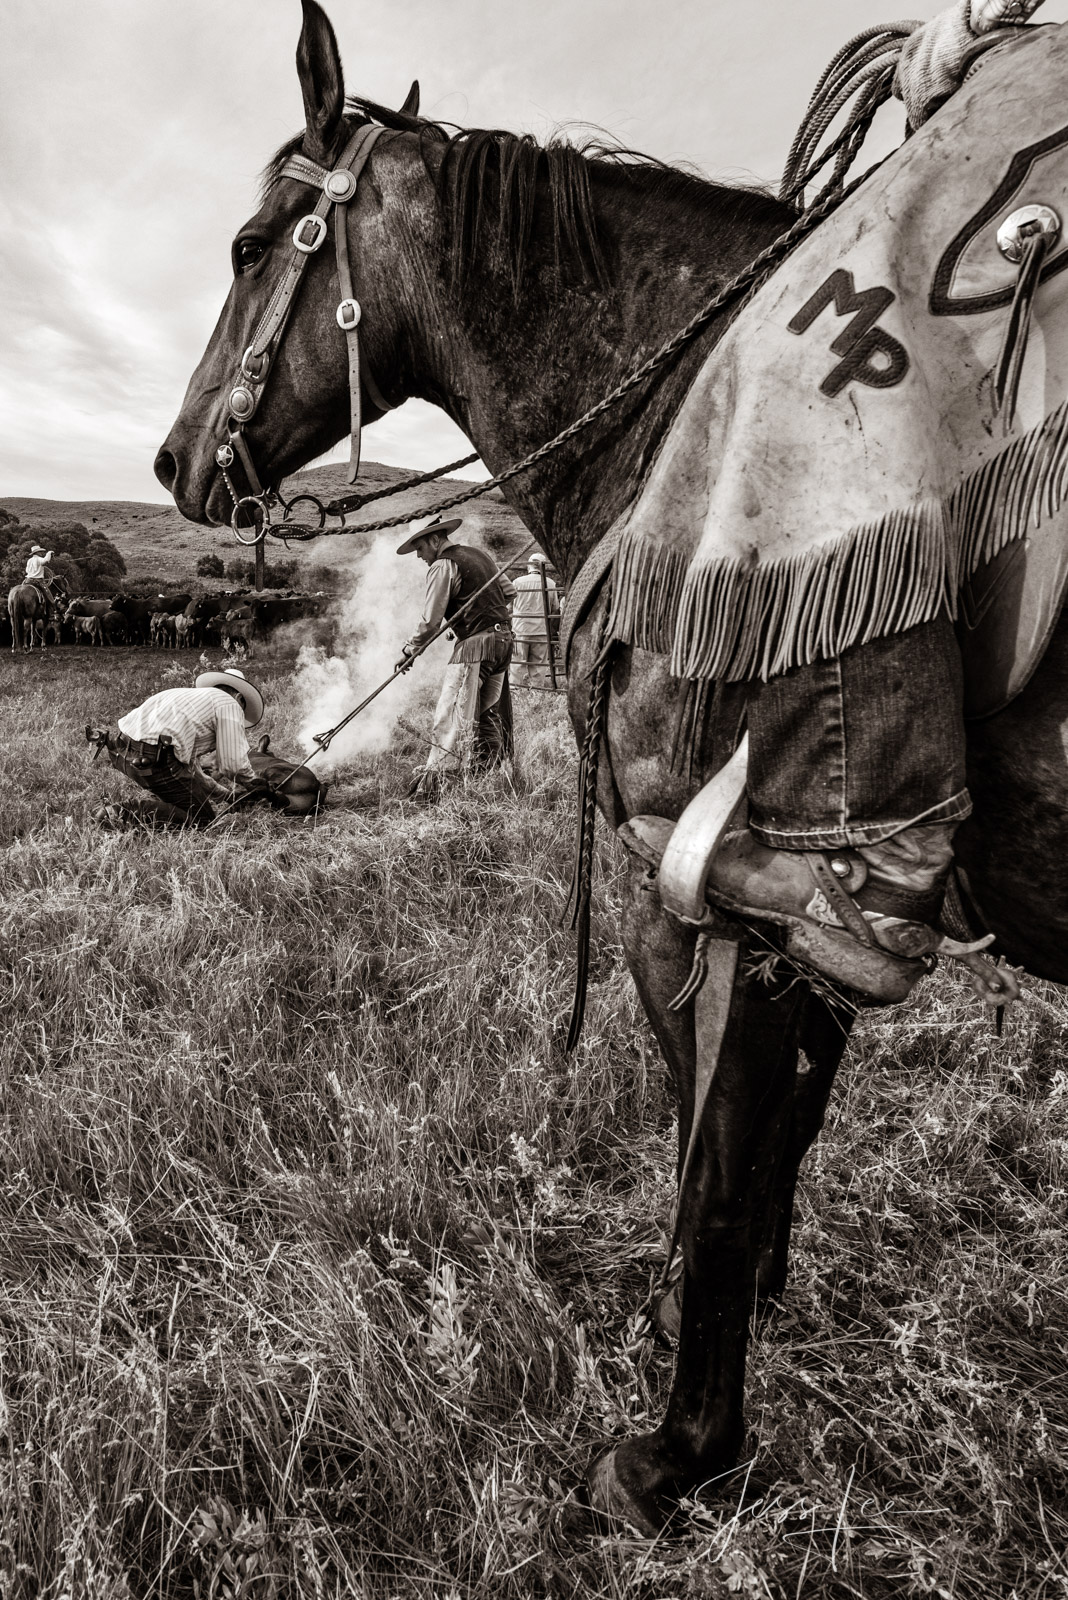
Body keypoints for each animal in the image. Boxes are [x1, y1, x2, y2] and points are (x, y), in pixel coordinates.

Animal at [154, 0, 1061, 1523]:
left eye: (244, 244)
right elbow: (774, 1134)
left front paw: (680, 1449)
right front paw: (751, 1320)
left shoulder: (737, 900)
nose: (172, 462)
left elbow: (722, 1162)